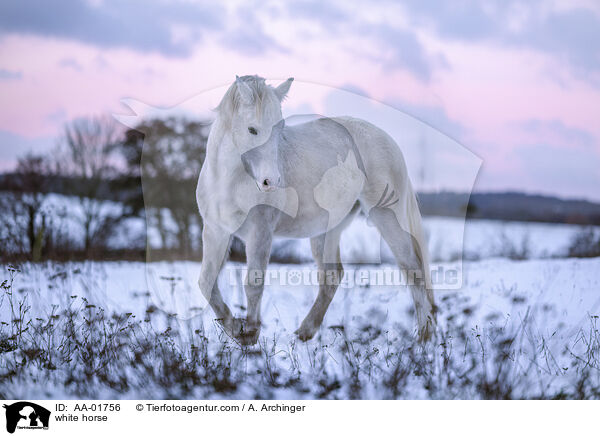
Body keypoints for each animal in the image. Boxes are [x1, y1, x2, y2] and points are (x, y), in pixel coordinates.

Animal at [197, 76, 436, 346]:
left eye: (279, 130)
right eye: (252, 129)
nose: (271, 181)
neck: (228, 181)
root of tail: (387, 140)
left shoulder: (260, 233)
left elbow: (253, 283)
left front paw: (249, 333)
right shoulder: (215, 232)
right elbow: (206, 282)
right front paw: (235, 328)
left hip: (387, 217)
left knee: (412, 268)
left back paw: (424, 337)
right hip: (327, 229)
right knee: (332, 277)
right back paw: (305, 331)